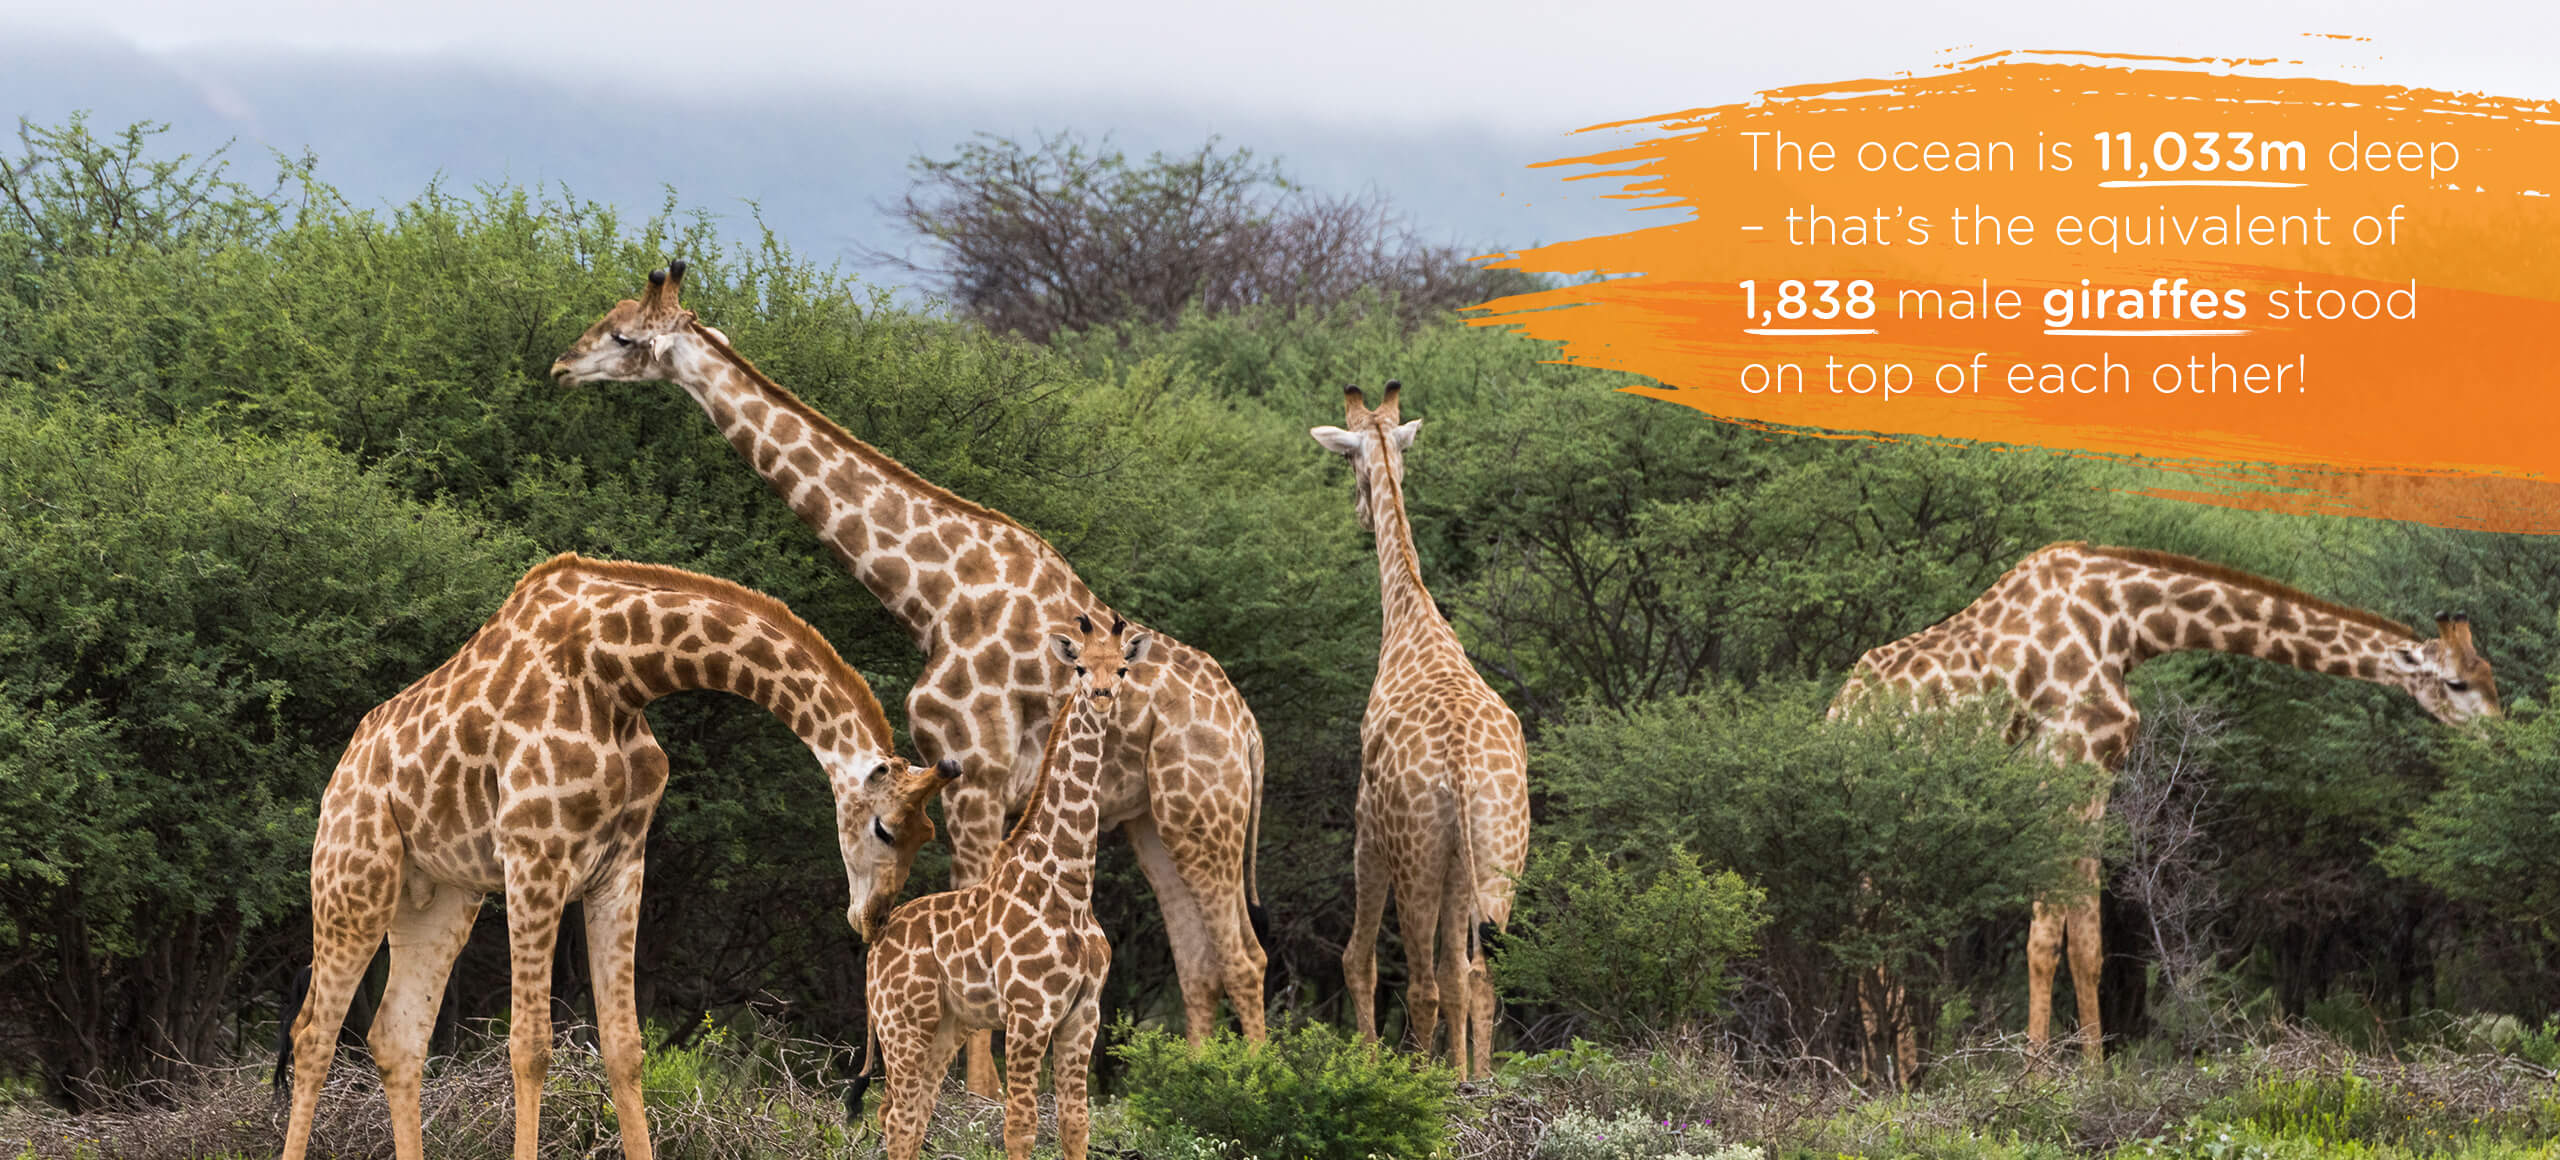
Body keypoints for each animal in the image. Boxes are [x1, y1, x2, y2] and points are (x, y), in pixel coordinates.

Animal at [278, 553, 956, 1160]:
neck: (620, 672)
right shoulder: (534, 853)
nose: (873, 918)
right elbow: (530, 1044)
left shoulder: (622, 866)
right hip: (354, 877)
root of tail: (338, 774)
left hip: (439, 898)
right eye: (885, 829)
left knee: (397, 1036)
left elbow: (626, 1046)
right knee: (312, 1035)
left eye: (929, 835)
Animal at [550, 263, 1267, 1093]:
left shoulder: (979, 771)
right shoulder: (961, 778)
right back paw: (1195, 1084)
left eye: (622, 335)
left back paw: (1251, 1086)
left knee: (1244, 955)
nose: (561, 366)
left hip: (1202, 810)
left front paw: (980, 1095)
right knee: (1197, 959)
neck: (933, 596)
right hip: (1154, 820)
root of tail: (1250, 733)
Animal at [860, 613, 1139, 1160]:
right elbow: (1021, 1124)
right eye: (1079, 666)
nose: (1100, 695)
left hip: (946, 1024)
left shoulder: (1084, 1015)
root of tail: (876, 942)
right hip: (903, 1021)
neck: (1070, 885)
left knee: (910, 1115)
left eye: (1121, 667)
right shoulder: (1029, 1011)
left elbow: (1076, 1123)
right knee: (899, 1118)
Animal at [1310, 381, 1531, 1080]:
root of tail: (1460, 769)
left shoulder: (1366, 826)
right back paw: (1474, 1082)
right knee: (1477, 974)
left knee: (1425, 981)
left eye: (1347, 462)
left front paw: (1370, 1067)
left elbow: (1356, 958)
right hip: (1497, 856)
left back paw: (1425, 1081)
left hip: (1417, 856)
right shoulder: (1464, 862)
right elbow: (1464, 975)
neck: (1412, 619)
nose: (1360, 511)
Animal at [1831, 540, 2500, 1073]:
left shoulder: (2085, 767)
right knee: (1873, 931)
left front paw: (2089, 1075)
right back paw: (1894, 1076)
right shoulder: (2072, 754)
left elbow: (2086, 940)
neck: (2129, 622)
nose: (2502, 735)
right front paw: (2044, 1079)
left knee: (1871, 932)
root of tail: (1840, 713)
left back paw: (1887, 1074)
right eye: (2458, 683)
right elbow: (2052, 939)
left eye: (2491, 673)